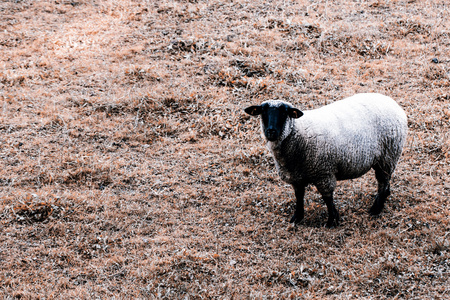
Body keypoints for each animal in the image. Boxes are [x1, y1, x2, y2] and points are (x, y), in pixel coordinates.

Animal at [244, 94, 410, 227]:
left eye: (284, 113)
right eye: (262, 112)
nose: (271, 131)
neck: (298, 133)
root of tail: (392, 102)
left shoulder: (324, 172)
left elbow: (327, 198)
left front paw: (332, 221)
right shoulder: (296, 177)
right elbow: (299, 196)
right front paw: (297, 217)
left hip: (388, 156)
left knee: (383, 183)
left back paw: (376, 209)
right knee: (386, 183)